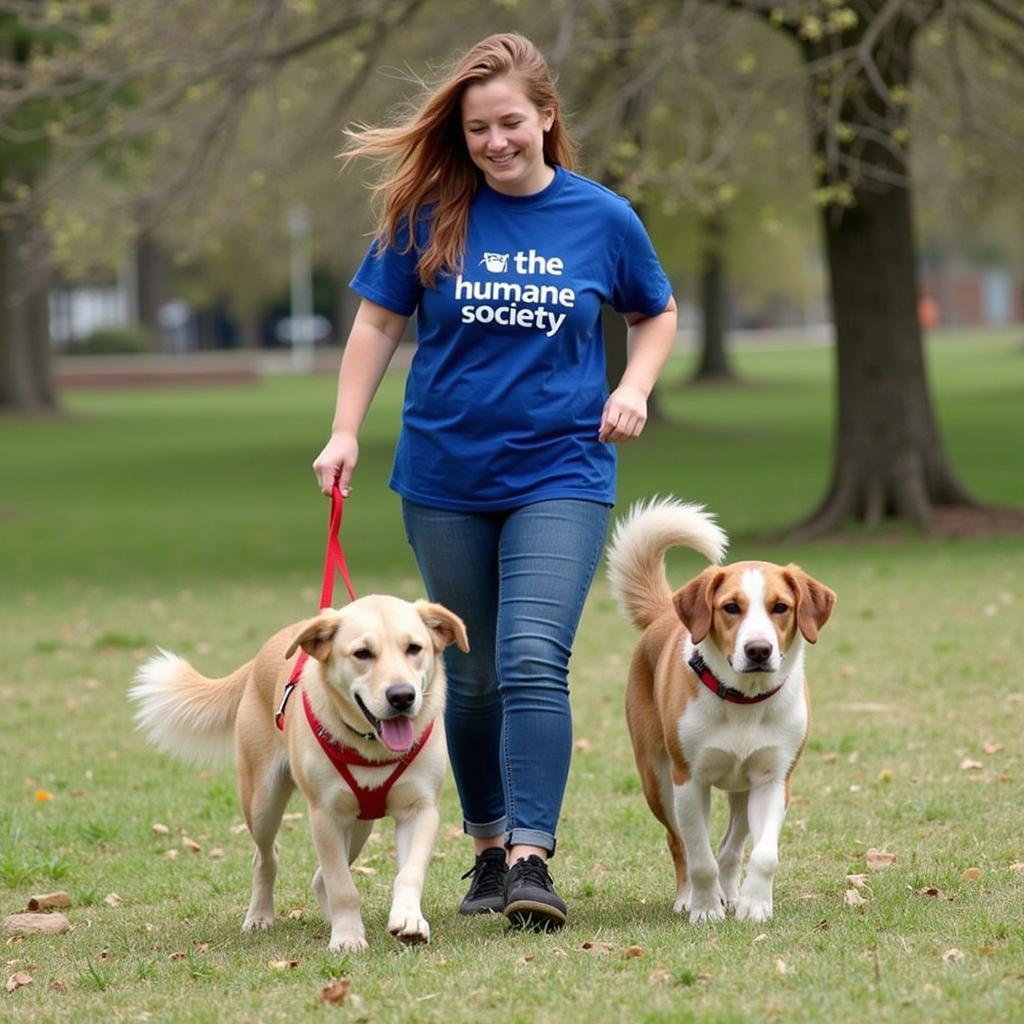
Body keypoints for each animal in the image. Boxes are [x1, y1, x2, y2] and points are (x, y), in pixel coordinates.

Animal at [129, 593, 468, 950]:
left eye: (414, 648)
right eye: (362, 653)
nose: (402, 696)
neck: (370, 747)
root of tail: (261, 655)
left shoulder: (420, 809)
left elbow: (408, 873)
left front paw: (408, 919)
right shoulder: (325, 814)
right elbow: (342, 886)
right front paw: (347, 938)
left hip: (361, 824)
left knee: (322, 875)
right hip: (262, 803)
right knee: (265, 858)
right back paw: (260, 916)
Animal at [606, 499, 831, 925]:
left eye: (781, 607)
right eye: (731, 607)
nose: (758, 650)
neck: (744, 702)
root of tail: (664, 613)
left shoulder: (774, 780)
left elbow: (763, 855)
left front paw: (755, 906)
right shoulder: (689, 781)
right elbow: (699, 858)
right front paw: (706, 909)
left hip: (742, 788)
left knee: (730, 848)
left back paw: (733, 894)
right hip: (655, 779)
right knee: (678, 842)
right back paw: (688, 897)